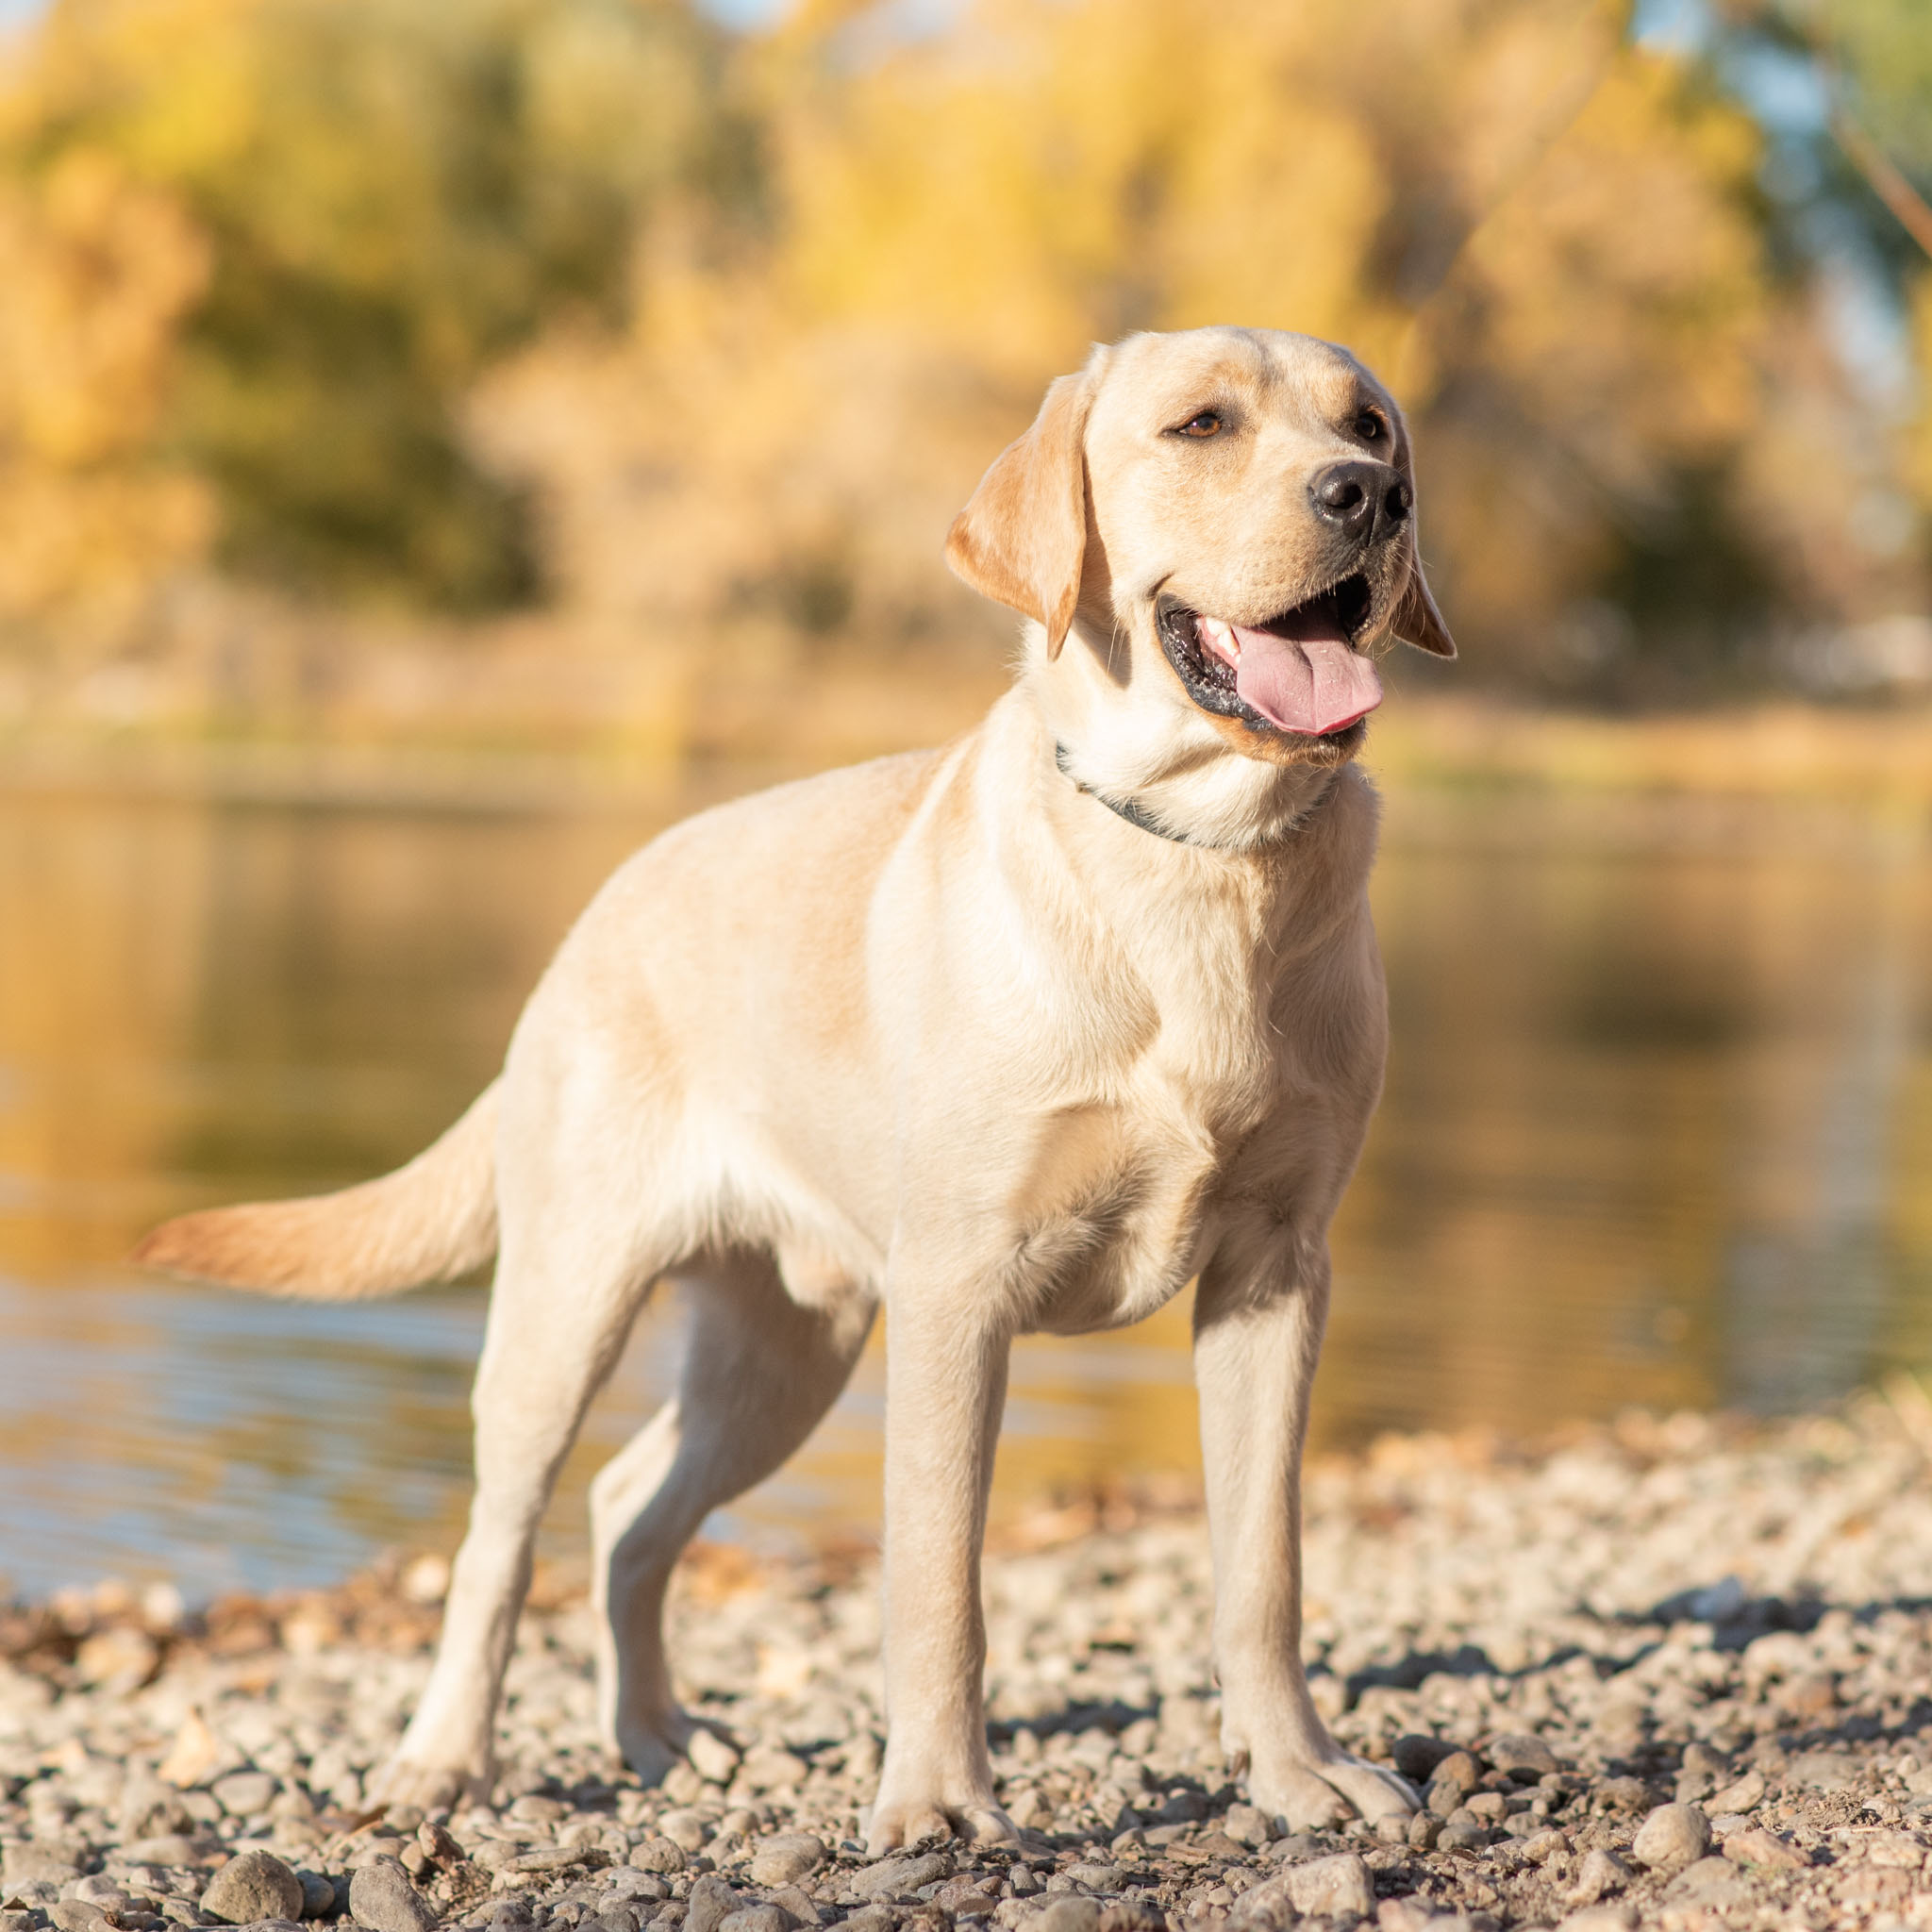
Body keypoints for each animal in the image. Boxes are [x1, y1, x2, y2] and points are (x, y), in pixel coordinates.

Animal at [136, 325, 1453, 1846]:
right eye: (1201, 425)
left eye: (1371, 425)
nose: (1368, 496)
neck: (1195, 859)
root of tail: (601, 906)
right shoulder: (957, 1291)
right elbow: (937, 1582)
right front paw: (936, 1801)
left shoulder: (1277, 1274)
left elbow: (1263, 1564)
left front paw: (1296, 1772)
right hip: (568, 1306)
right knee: (500, 1538)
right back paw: (443, 1763)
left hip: (788, 1345)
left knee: (631, 1505)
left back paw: (655, 1734)